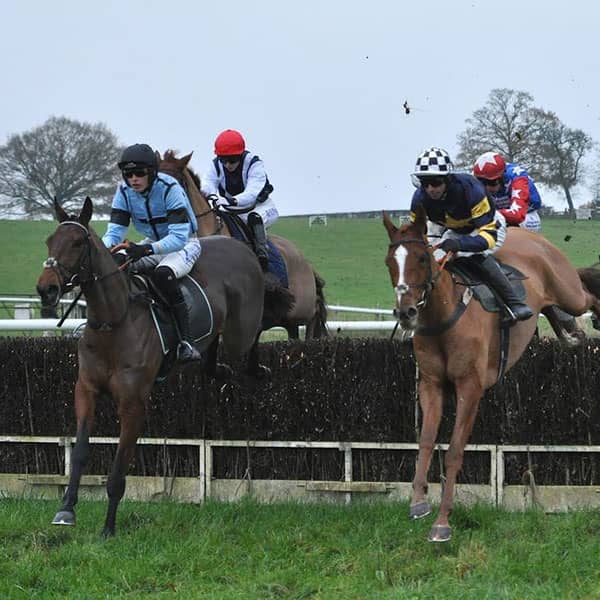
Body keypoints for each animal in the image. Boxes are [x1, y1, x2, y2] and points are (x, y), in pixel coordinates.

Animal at [35, 196, 264, 536]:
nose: (46, 289)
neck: (113, 322)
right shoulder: (86, 390)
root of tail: (239, 246)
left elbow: (119, 468)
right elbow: (79, 452)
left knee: (257, 331)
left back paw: (256, 368)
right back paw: (216, 367)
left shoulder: (133, 402)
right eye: (50, 240)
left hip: (241, 331)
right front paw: (66, 509)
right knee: (212, 356)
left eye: (77, 242)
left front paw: (108, 528)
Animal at [382, 204, 600, 540]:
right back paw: (571, 332)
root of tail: (530, 235)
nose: (405, 312)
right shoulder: (431, 385)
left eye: (421, 258)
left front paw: (442, 522)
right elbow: (426, 442)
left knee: (587, 291)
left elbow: (454, 451)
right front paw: (418, 502)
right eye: (389, 262)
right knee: (559, 309)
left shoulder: (470, 387)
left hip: (570, 292)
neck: (443, 317)